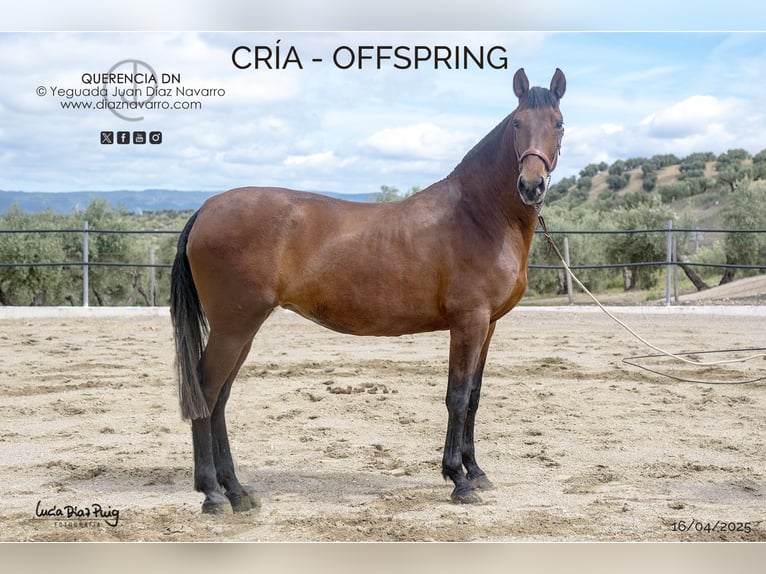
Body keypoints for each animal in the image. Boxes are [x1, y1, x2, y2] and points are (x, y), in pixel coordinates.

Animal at [170, 67, 566, 513]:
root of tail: (206, 208)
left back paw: (236, 491)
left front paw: (477, 472)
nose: (531, 185)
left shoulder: (488, 326)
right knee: (206, 392)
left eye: (558, 124)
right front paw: (458, 480)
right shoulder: (469, 322)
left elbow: (475, 397)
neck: (478, 214)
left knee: (220, 397)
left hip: (243, 329)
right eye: (517, 124)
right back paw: (212, 494)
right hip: (233, 327)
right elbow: (458, 397)